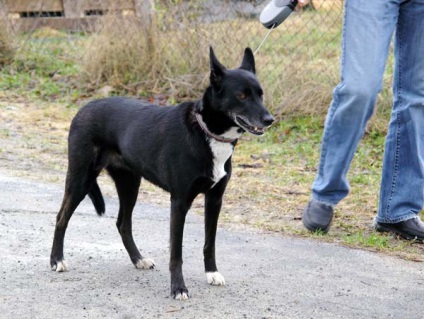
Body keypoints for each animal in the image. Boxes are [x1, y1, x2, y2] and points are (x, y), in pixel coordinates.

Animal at [50, 47, 274, 300]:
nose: (270, 120)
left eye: (260, 95)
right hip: (81, 178)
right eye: (242, 96)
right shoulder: (179, 202)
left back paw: (138, 259)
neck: (206, 132)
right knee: (61, 217)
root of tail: (84, 108)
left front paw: (212, 273)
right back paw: (57, 260)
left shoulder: (215, 199)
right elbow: (176, 253)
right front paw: (178, 288)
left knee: (122, 223)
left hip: (130, 184)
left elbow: (210, 243)